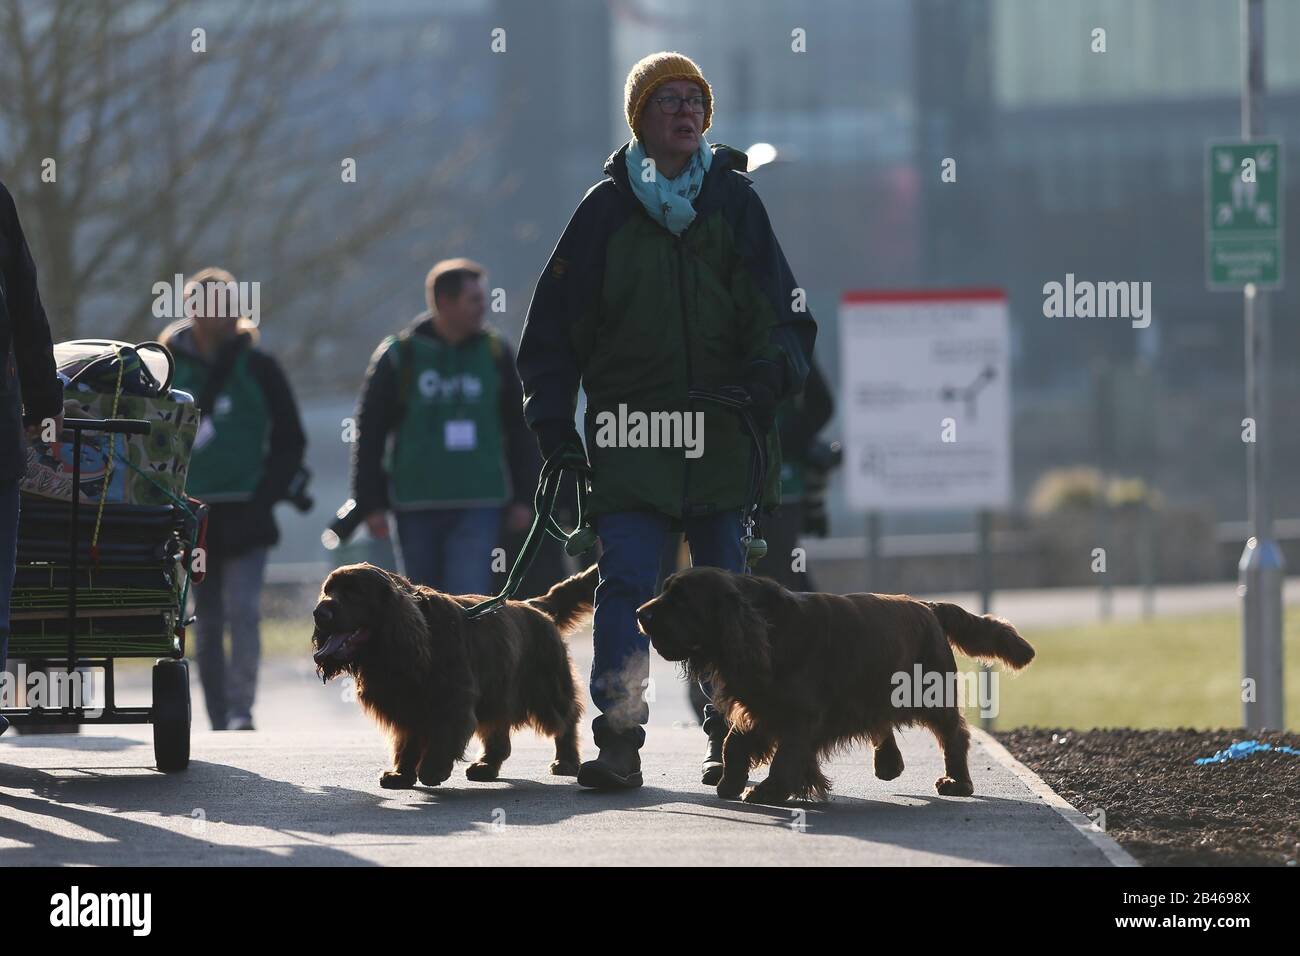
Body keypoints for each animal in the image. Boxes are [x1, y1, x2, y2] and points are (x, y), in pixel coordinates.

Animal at [312, 564, 595, 790]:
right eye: (327, 590)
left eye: (353, 592)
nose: (318, 613)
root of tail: (534, 606)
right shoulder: (406, 704)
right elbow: (407, 742)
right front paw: (401, 774)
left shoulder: (452, 698)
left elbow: (442, 735)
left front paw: (432, 770)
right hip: (499, 693)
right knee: (499, 733)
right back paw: (486, 766)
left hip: (546, 689)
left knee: (567, 719)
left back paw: (566, 761)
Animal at [639, 572, 1034, 806]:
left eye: (681, 599)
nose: (639, 613)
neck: (769, 628)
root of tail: (927, 606)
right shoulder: (760, 707)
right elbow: (733, 743)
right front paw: (730, 781)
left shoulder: (800, 714)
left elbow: (786, 756)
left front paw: (770, 790)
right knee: (883, 723)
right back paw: (888, 764)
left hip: (928, 693)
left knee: (954, 734)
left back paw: (958, 782)